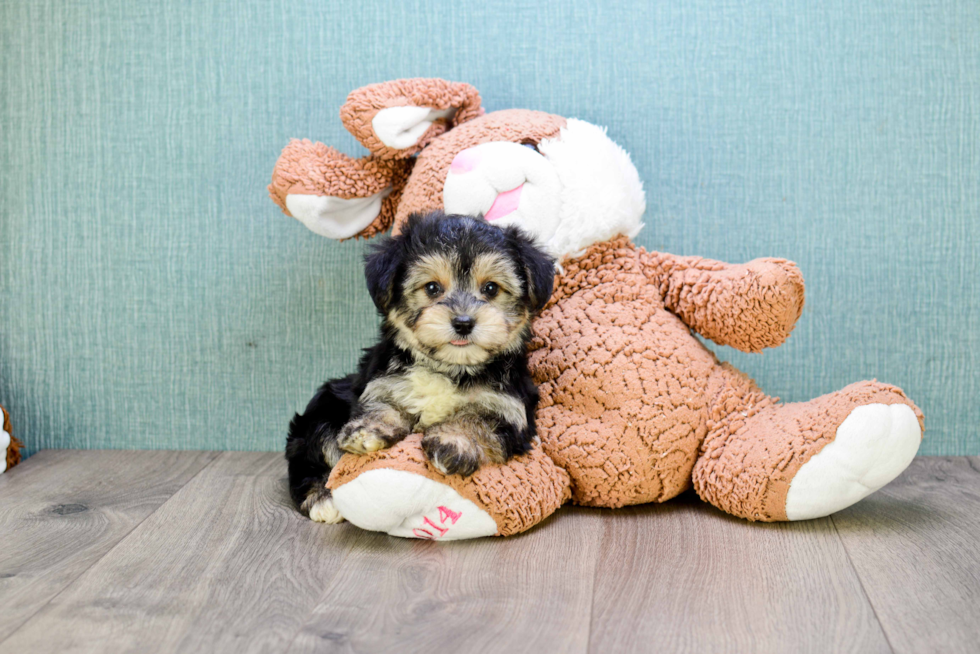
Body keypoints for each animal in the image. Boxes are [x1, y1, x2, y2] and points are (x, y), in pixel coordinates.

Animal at [288, 213, 556, 524]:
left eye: (491, 288)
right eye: (432, 288)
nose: (463, 322)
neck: (450, 367)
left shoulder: (510, 408)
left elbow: (477, 419)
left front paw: (453, 441)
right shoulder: (382, 383)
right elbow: (381, 406)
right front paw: (368, 430)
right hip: (322, 410)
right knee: (310, 455)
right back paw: (321, 497)